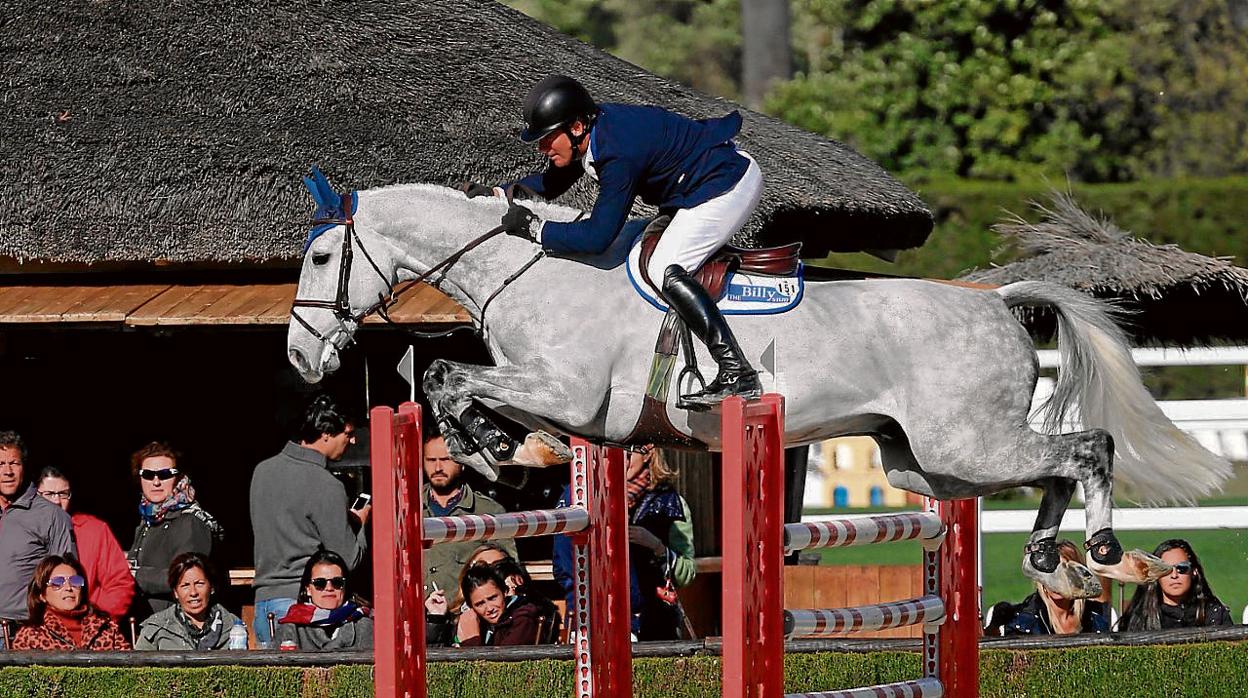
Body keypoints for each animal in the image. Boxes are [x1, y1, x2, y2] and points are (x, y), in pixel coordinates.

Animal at [289, 181, 1228, 601]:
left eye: (323, 256)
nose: (301, 357)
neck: (532, 269)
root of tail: (994, 302)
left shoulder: (564, 389)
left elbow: (450, 376)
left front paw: (486, 451)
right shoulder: (553, 396)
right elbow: (456, 381)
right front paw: (494, 450)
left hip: (965, 442)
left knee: (1086, 449)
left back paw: (1098, 549)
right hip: (926, 463)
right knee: (1050, 469)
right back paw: (1045, 554)